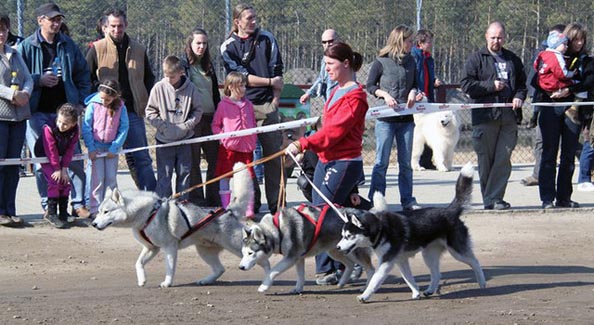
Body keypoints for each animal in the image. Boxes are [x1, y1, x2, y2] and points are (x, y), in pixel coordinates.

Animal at [91, 163, 268, 288]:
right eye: (99, 212)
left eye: (106, 212)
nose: (93, 223)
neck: (147, 213)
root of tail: (228, 210)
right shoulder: (151, 248)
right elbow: (138, 263)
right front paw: (142, 280)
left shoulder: (169, 247)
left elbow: (169, 268)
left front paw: (167, 283)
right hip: (204, 251)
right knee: (220, 269)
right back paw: (206, 280)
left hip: (238, 248)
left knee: (263, 260)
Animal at [237, 205, 372, 294]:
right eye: (243, 253)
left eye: (250, 253)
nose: (240, 267)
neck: (277, 229)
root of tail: (363, 212)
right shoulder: (299, 258)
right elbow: (300, 275)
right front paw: (298, 288)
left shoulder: (291, 258)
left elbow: (273, 271)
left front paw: (264, 286)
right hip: (335, 251)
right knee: (350, 264)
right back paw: (342, 282)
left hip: (353, 252)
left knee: (370, 268)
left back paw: (366, 287)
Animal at [336, 163, 484, 302]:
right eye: (342, 236)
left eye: (349, 236)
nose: (337, 247)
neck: (381, 228)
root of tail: (449, 211)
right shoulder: (400, 260)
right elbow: (409, 279)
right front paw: (416, 293)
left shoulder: (386, 263)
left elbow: (375, 280)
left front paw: (364, 296)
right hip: (428, 255)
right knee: (436, 274)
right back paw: (430, 290)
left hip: (457, 252)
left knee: (475, 262)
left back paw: (482, 282)